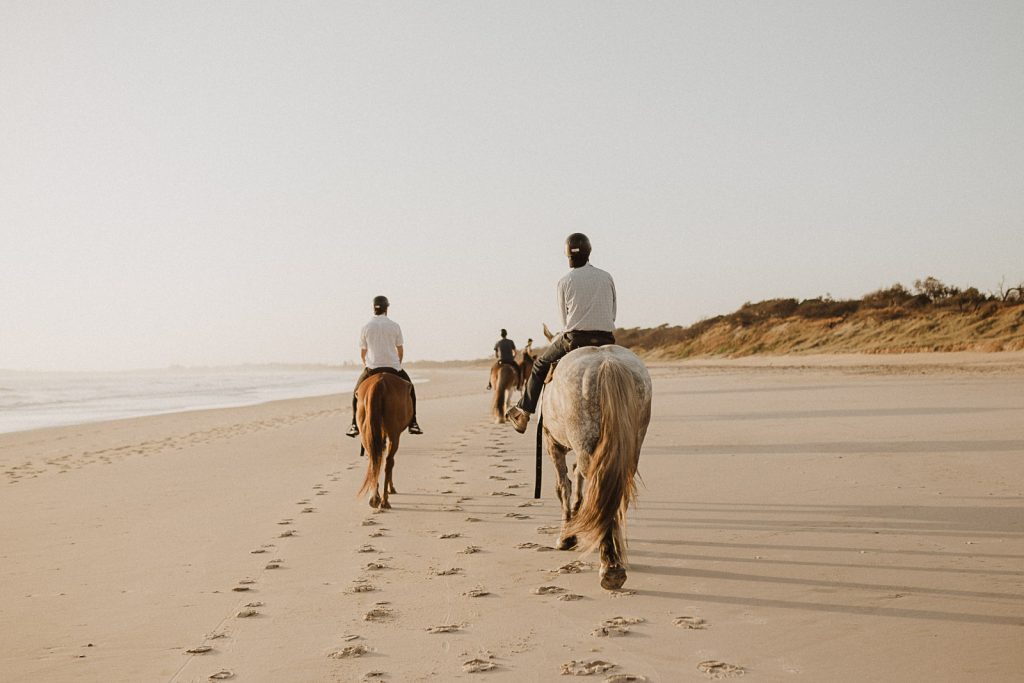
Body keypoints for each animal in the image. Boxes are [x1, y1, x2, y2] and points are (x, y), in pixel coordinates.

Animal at [356, 370, 411, 509]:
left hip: (365, 433)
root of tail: (379, 383)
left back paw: (374, 498)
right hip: (393, 434)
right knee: (388, 462)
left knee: (373, 460)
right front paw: (391, 489)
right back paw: (385, 500)